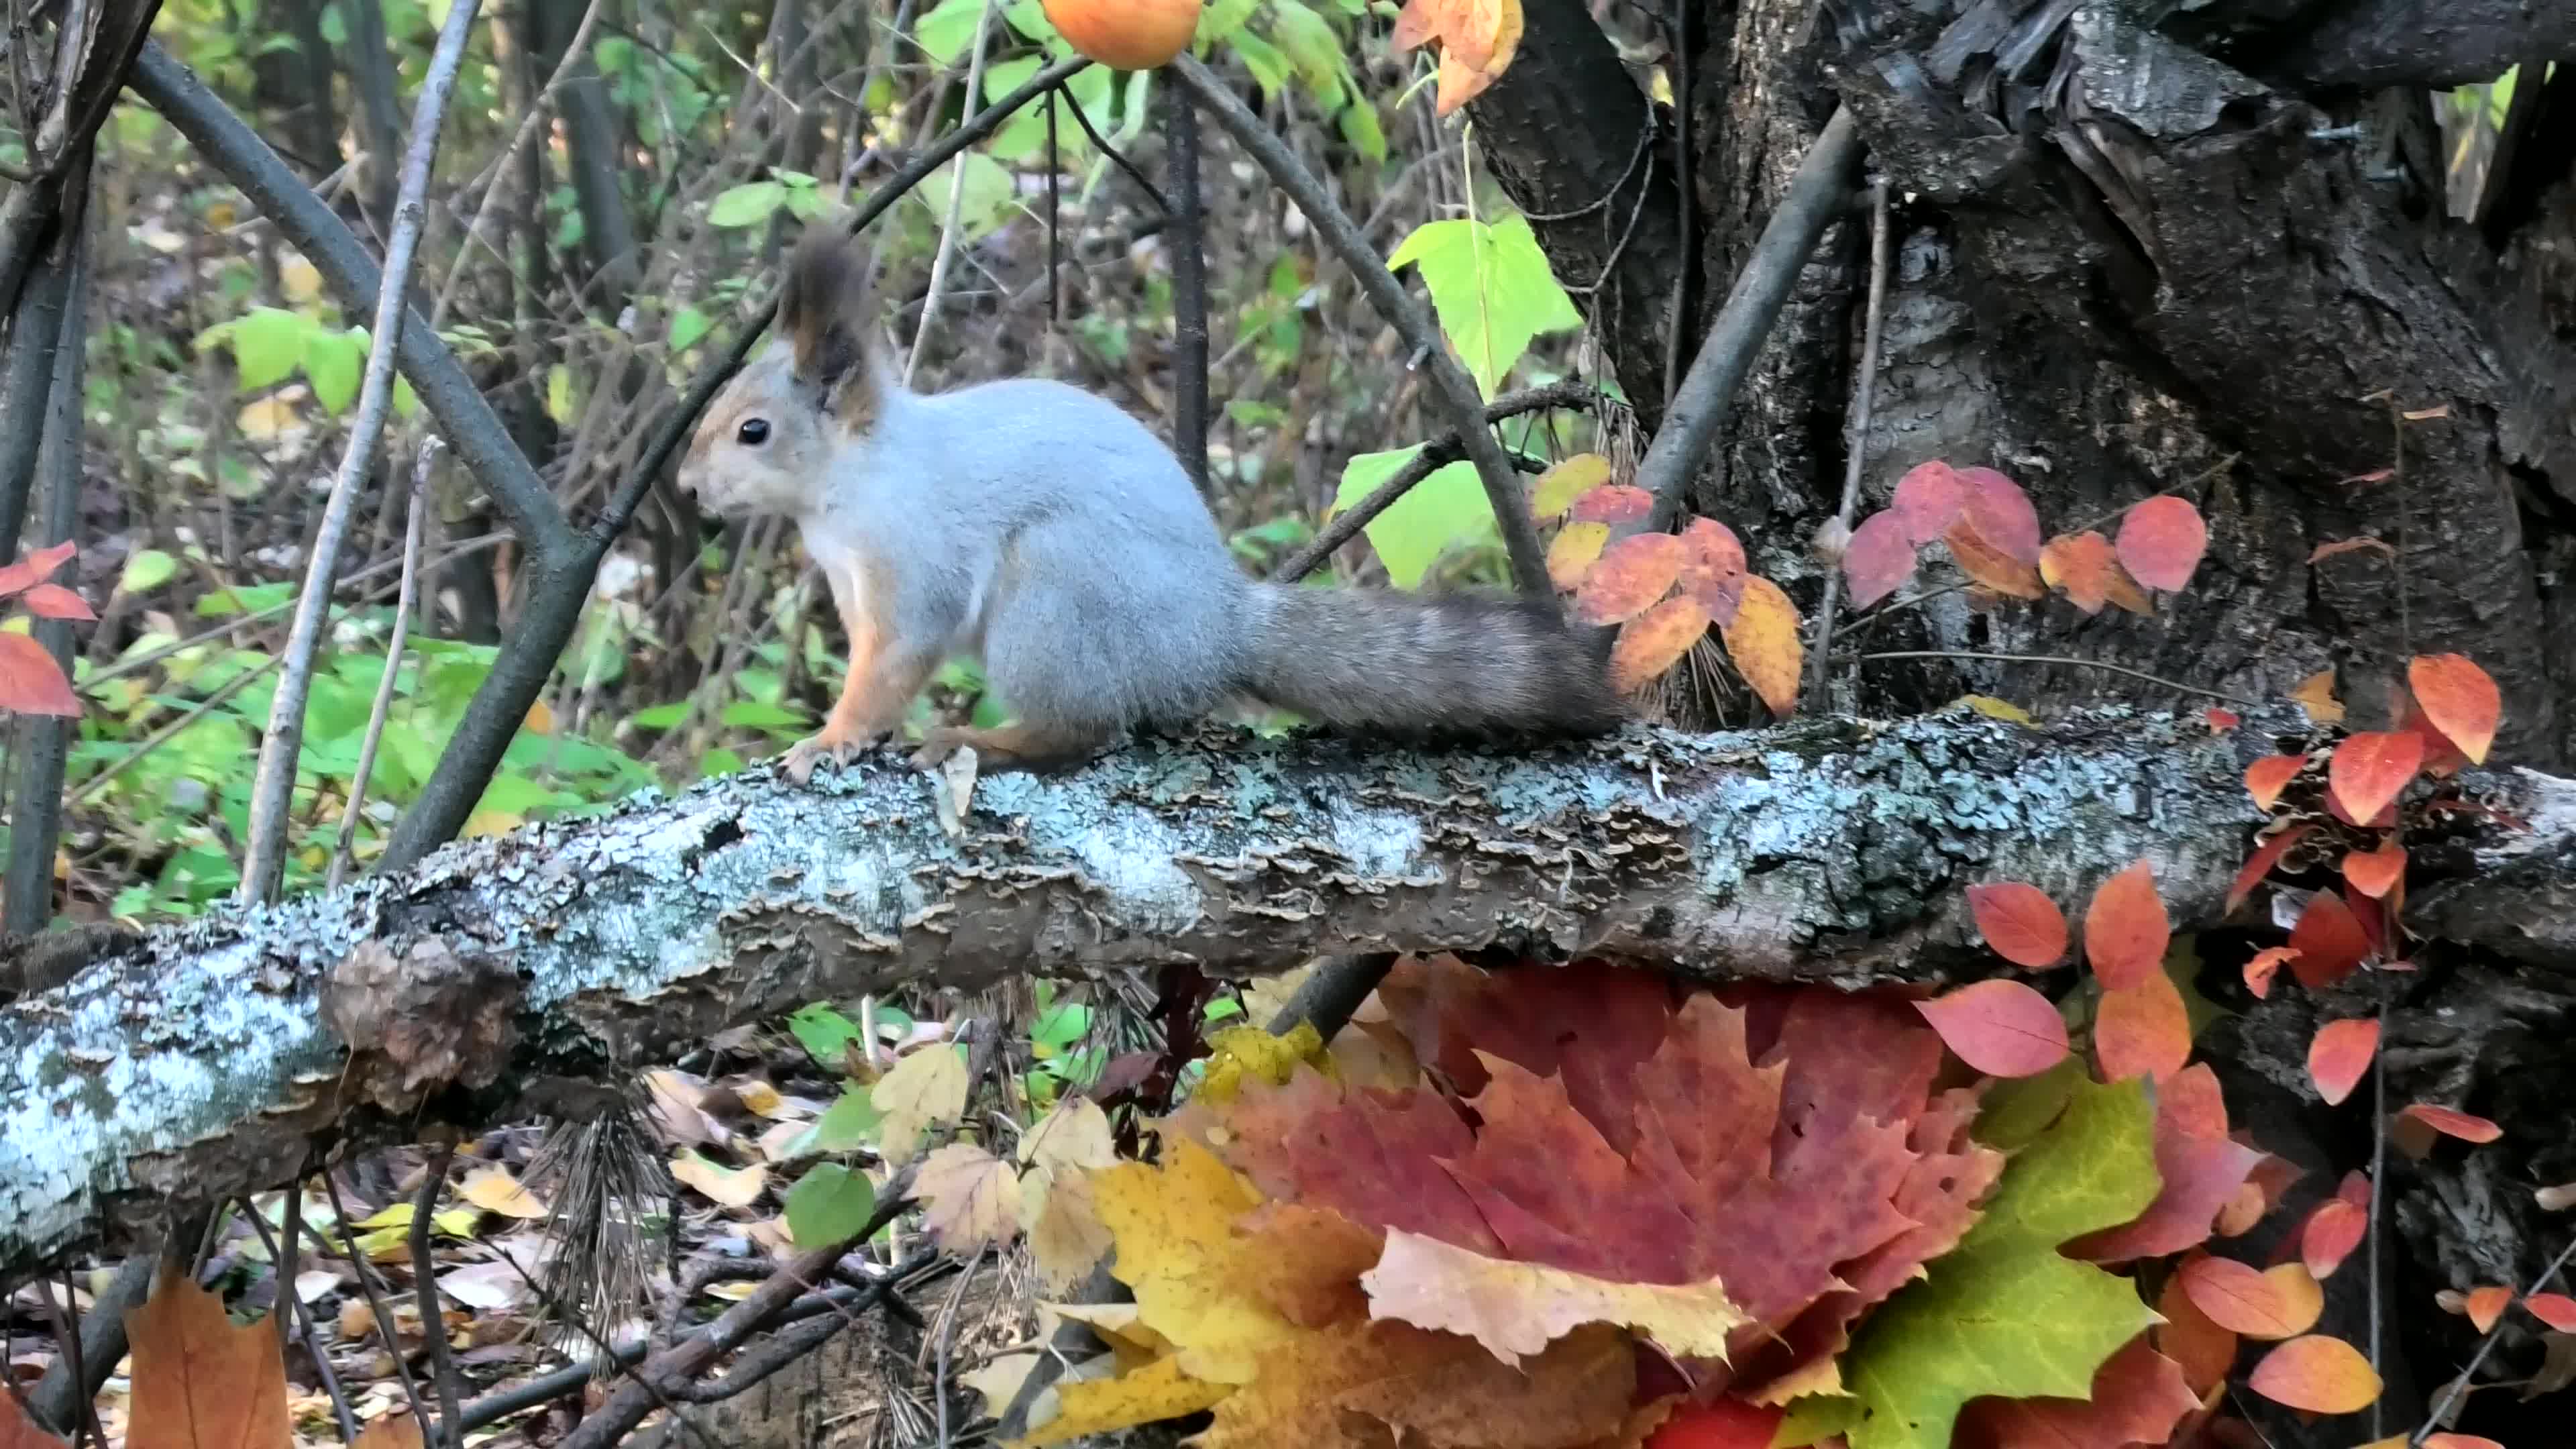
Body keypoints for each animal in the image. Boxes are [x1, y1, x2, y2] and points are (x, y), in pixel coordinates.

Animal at [675, 221, 1617, 778]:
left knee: (1080, 732)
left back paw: (984, 742)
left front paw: (830, 739)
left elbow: (893, 662)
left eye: (754, 431)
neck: (856, 480)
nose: (685, 488)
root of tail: (1214, 634)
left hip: (1054, 601)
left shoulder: (913, 565)